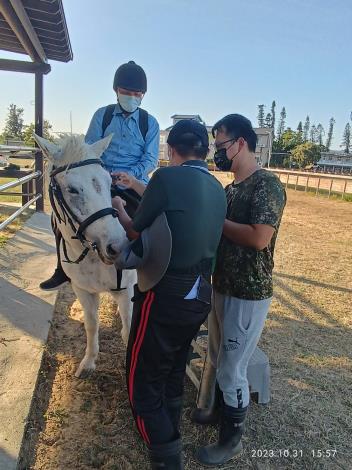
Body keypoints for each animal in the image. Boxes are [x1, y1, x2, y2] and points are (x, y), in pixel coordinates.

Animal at [34, 133, 136, 378]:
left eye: (109, 182)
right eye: (71, 189)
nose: (119, 246)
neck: (93, 256)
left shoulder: (127, 290)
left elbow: (129, 330)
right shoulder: (82, 290)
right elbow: (91, 324)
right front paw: (88, 362)